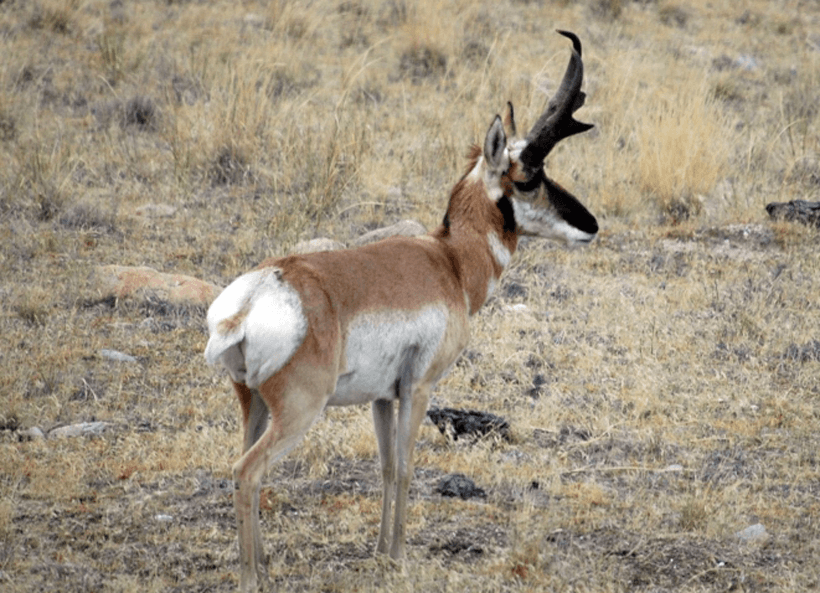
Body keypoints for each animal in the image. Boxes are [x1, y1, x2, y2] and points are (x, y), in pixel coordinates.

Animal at [205, 30, 598, 592]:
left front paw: (379, 552)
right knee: (247, 471)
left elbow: (387, 468)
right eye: (528, 178)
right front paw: (399, 557)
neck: (448, 262)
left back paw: (264, 564)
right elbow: (410, 467)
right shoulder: (420, 389)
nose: (591, 225)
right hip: (299, 412)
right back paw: (251, 577)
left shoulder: (382, 398)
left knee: (240, 466)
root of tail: (262, 290)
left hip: (253, 405)